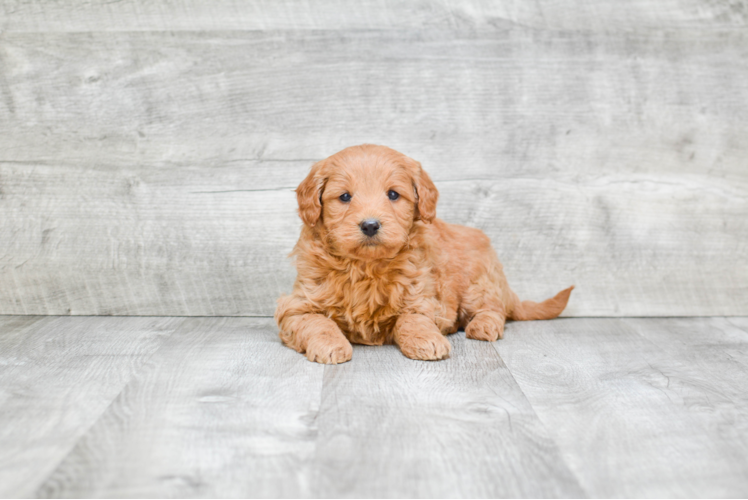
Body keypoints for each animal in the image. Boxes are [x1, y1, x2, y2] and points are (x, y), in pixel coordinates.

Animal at [274, 145, 572, 364]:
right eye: (345, 197)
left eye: (393, 194)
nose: (370, 225)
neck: (366, 268)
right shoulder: (298, 306)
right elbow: (316, 322)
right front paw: (330, 344)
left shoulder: (421, 297)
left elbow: (412, 319)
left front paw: (426, 340)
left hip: (479, 284)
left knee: (494, 309)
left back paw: (483, 326)